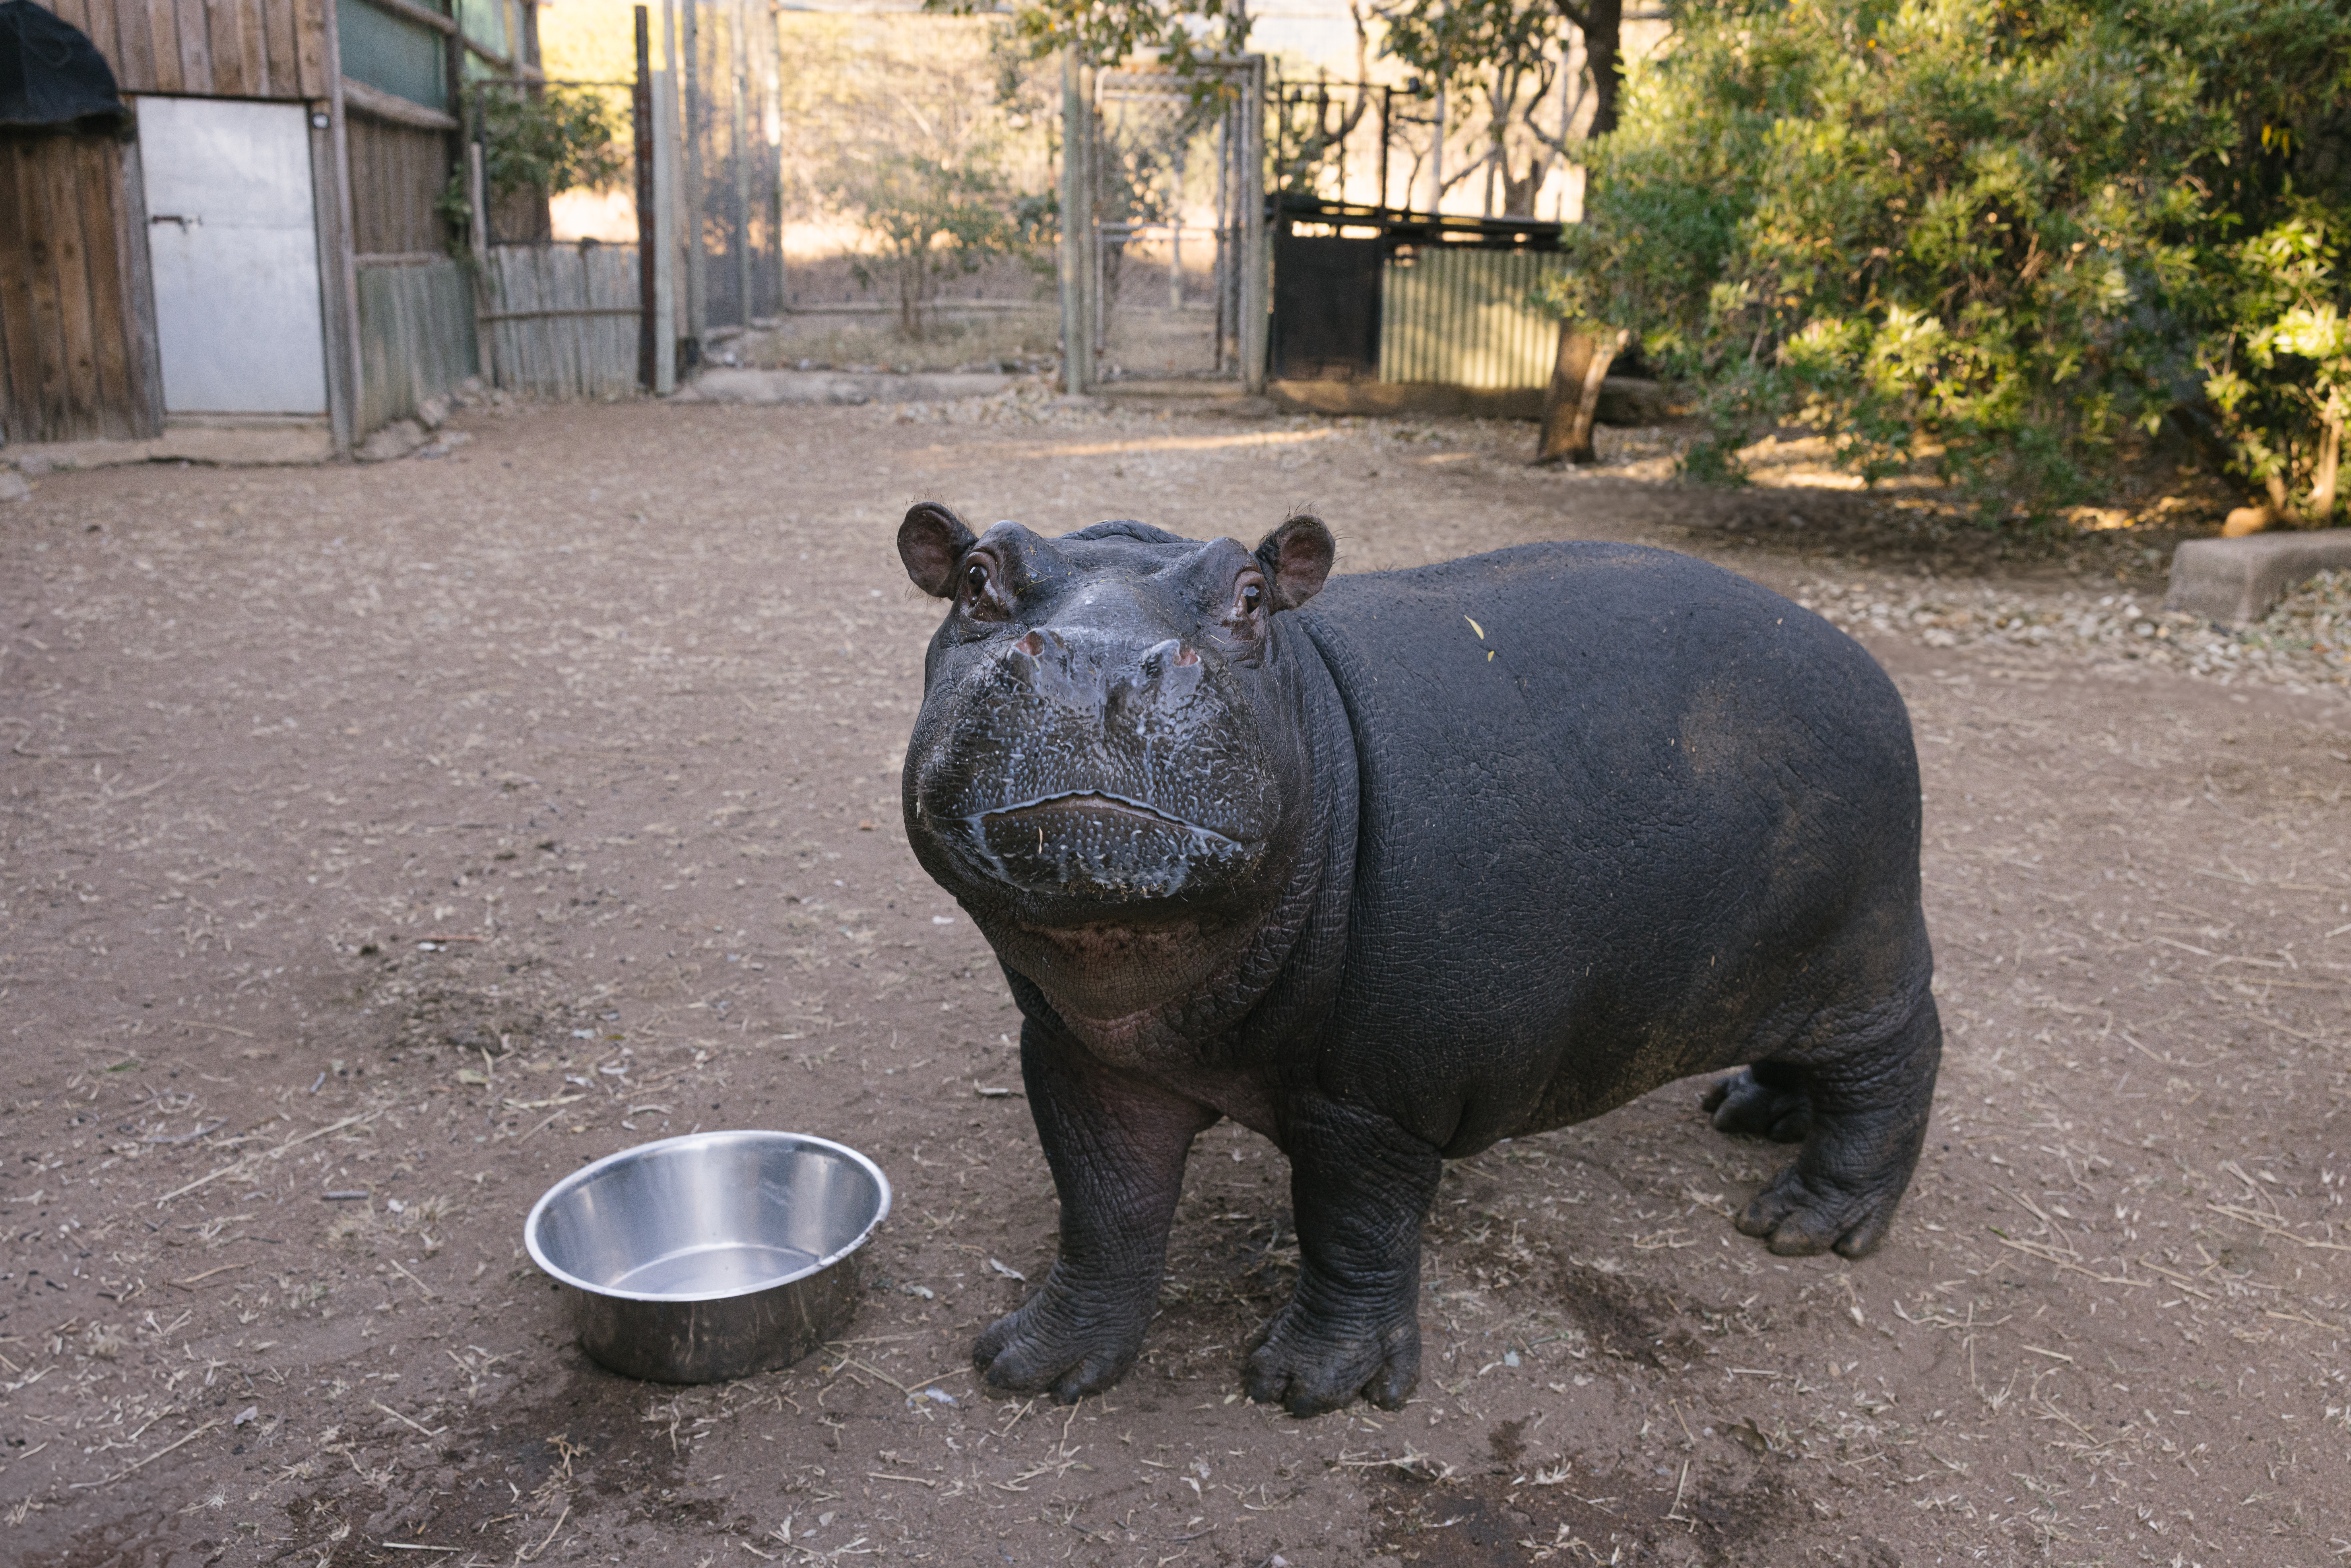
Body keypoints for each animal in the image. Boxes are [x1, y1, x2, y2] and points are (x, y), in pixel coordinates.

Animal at [895, 504, 1939, 1417]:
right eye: (976, 578)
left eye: (1251, 594)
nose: (1100, 663)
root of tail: (1857, 653)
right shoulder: (1078, 1053)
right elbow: (1103, 1204)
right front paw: (1030, 1365)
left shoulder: (1377, 1094)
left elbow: (1354, 1226)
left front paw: (1307, 1388)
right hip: (1777, 969)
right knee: (1814, 1055)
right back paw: (1750, 1112)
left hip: (1869, 950)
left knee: (1898, 1061)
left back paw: (1804, 1224)